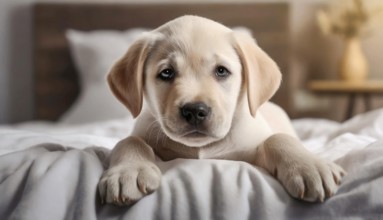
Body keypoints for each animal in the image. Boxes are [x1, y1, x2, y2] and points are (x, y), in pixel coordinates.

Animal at [97, 15, 346, 205]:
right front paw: (127, 172)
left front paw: (308, 166)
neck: (202, 149)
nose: (195, 110)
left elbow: (277, 139)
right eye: (166, 73)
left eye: (221, 71)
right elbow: (129, 141)